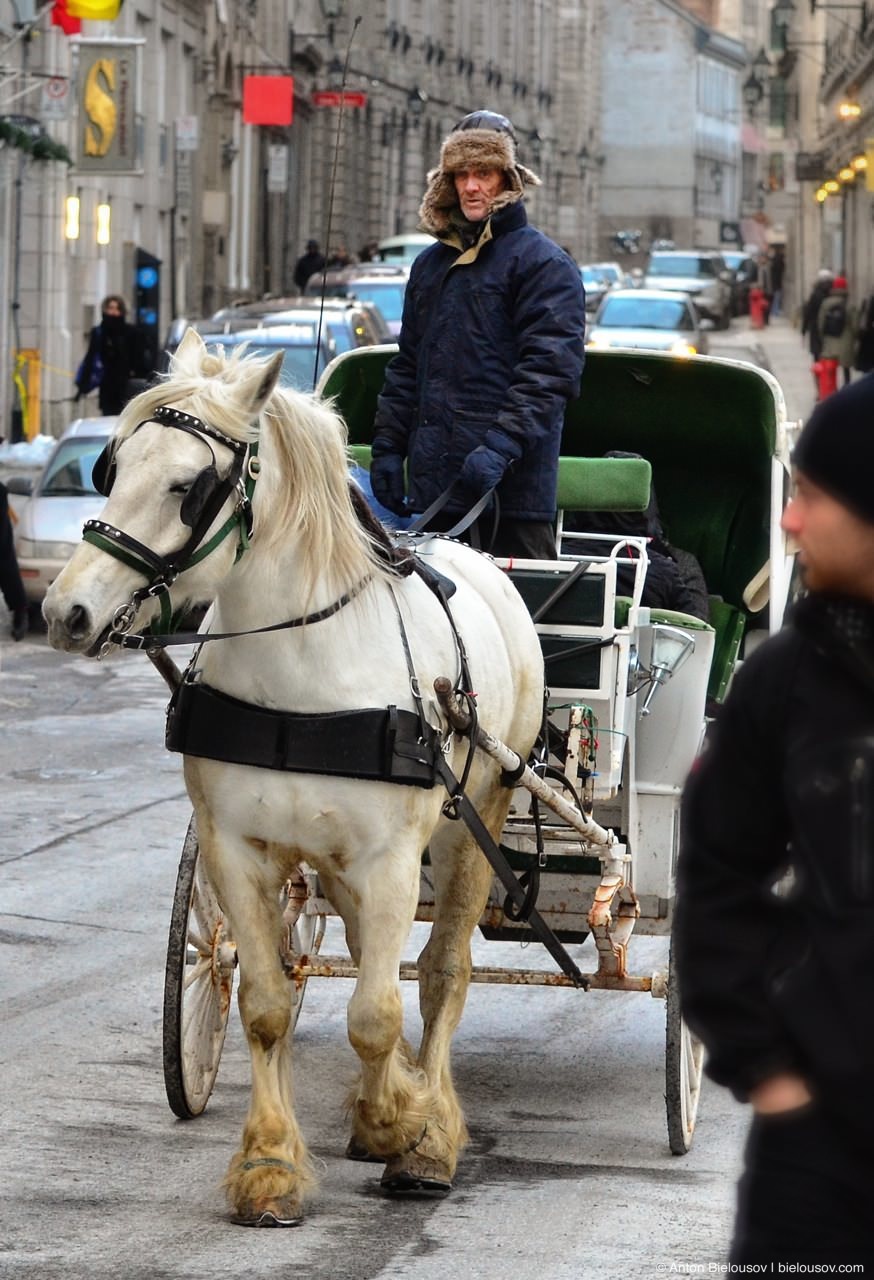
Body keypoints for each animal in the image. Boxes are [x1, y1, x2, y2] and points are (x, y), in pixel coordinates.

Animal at [44, 332, 547, 1228]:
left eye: (189, 486)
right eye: (113, 465)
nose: (66, 613)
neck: (301, 670)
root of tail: (474, 554)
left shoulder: (391, 859)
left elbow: (378, 1011)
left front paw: (401, 1125)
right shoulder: (237, 851)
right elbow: (268, 1005)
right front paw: (271, 1166)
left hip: (473, 821)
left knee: (442, 971)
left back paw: (430, 1128)